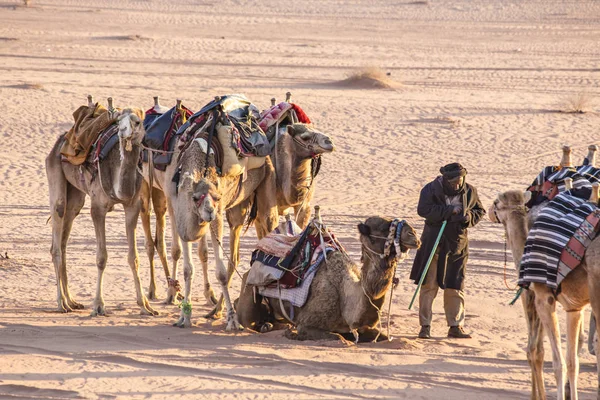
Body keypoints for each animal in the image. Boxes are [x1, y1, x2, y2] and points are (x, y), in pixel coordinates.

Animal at [46, 97, 156, 316]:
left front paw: (145, 305)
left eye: (137, 122)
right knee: (57, 235)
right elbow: (101, 257)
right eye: (119, 120)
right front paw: (98, 305)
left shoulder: (132, 206)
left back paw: (72, 301)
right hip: (54, 171)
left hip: (76, 196)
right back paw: (61, 303)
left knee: (64, 239)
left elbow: (133, 257)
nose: (122, 131)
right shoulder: (97, 208)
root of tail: (58, 144)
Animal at [236, 212, 422, 340]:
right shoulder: (307, 324)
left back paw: (270, 324)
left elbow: (383, 337)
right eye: (384, 228)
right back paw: (268, 326)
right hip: (248, 286)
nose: (414, 235)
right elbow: (337, 337)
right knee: (247, 319)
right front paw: (292, 334)